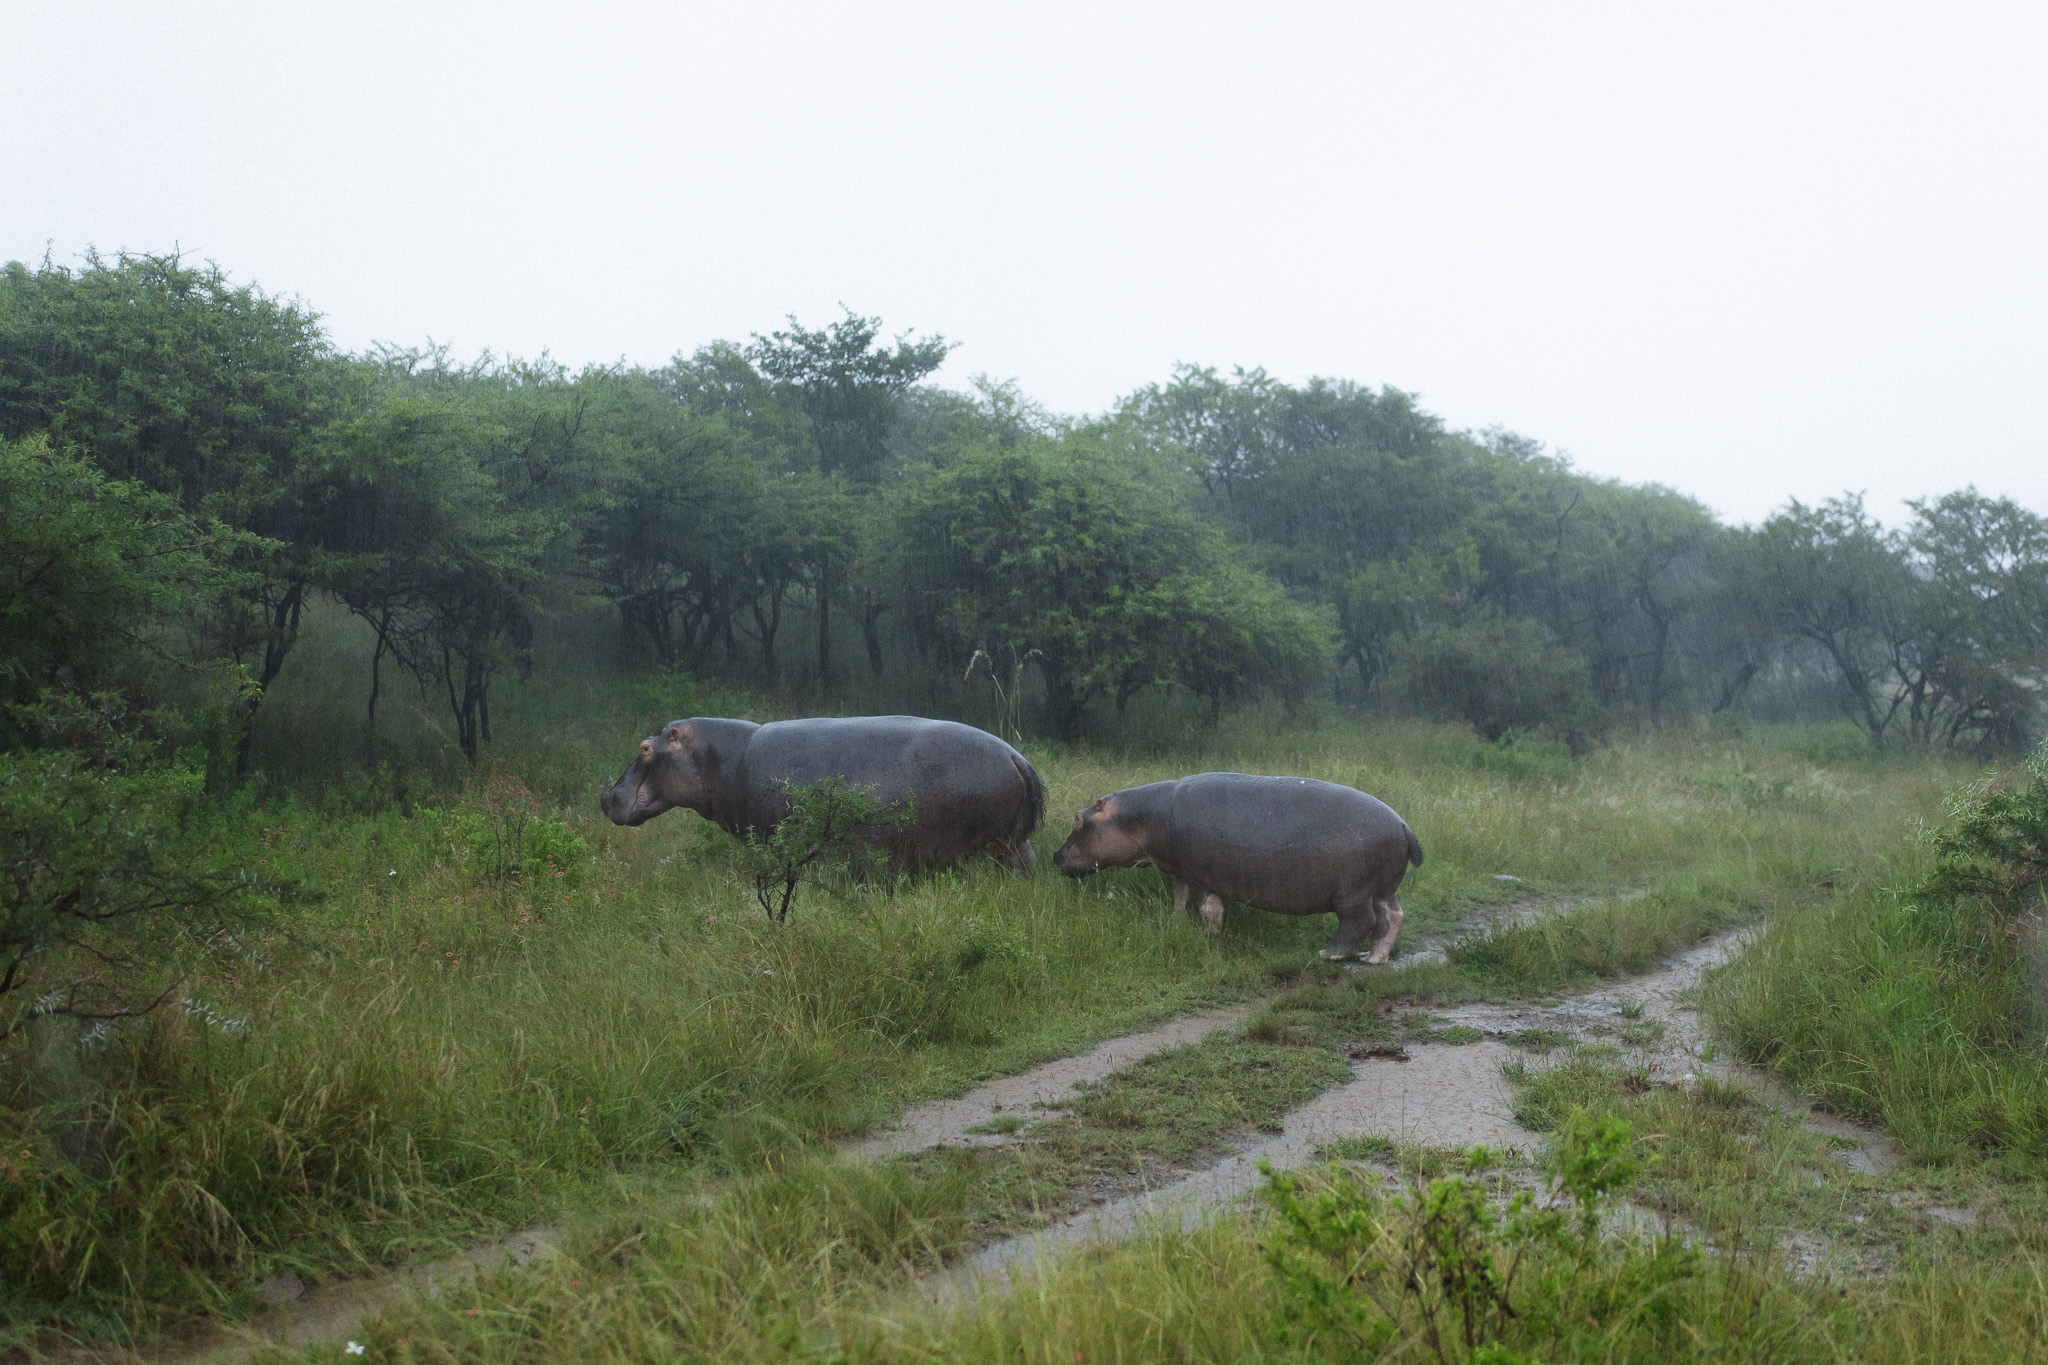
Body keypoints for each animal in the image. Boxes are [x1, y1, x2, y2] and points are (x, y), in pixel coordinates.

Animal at [599, 715, 1044, 872]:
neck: (721, 758)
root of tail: (1016, 757)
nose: (605, 796)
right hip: (1015, 847)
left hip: (979, 850)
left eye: (644, 747)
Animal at [1052, 772, 1422, 963]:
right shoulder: (1186, 872)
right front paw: (1175, 926)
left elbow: (1208, 909)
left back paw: (1329, 954)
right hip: (1383, 887)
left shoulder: (1202, 876)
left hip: (1351, 894)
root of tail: (1404, 825)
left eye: (1078, 818)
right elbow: (1179, 900)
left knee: (1360, 922)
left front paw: (1209, 941)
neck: (1143, 817)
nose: (1055, 855)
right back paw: (1373, 958)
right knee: (1392, 917)